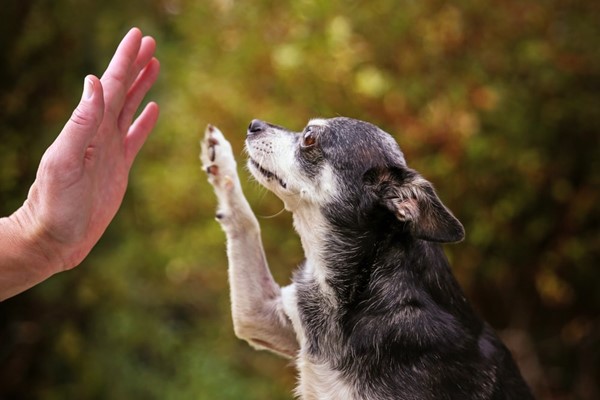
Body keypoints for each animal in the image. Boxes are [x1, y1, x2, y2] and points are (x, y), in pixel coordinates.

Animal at [202, 118, 536, 400]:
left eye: (309, 138)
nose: (254, 124)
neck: (362, 284)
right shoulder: (258, 317)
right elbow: (246, 223)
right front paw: (220, 161)